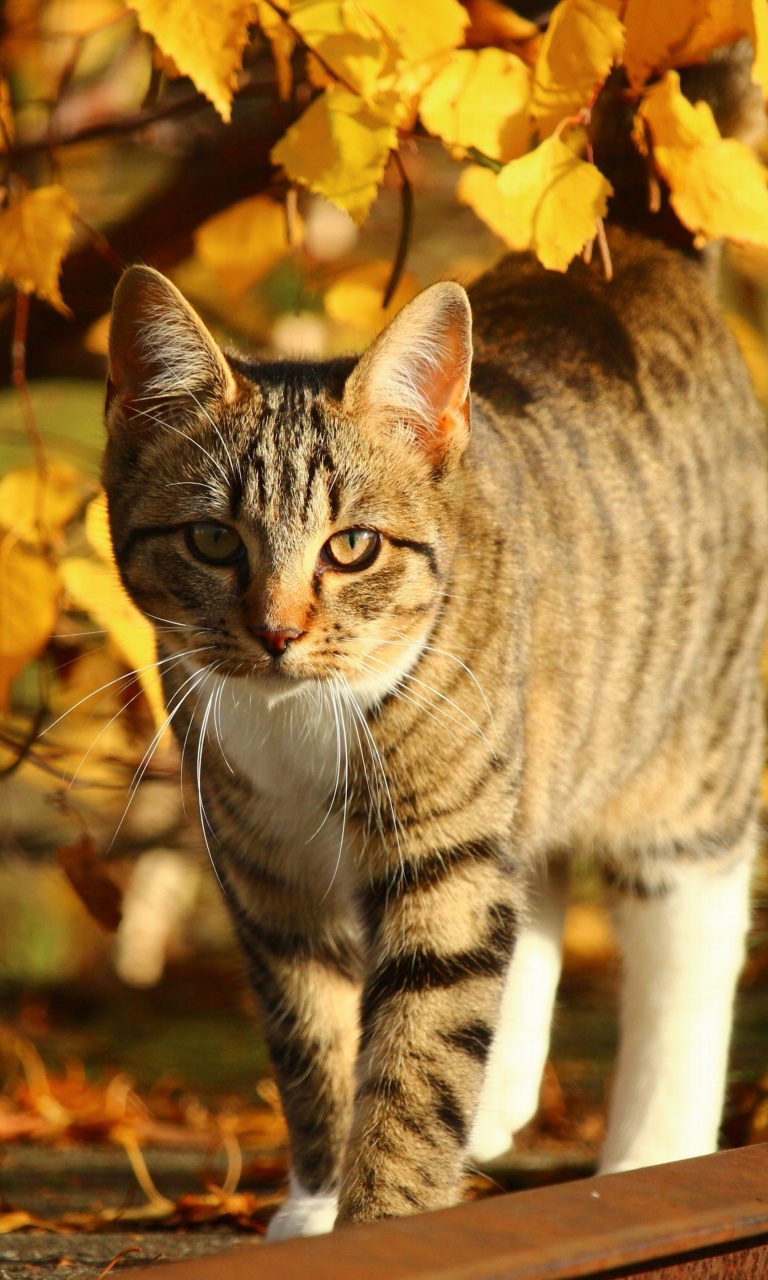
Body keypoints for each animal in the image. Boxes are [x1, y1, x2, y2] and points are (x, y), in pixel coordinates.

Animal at [103, 82, 768, 1239]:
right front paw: (320, 1200)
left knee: (687, 922)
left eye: (352, 547)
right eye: (214, 540)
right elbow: (315, 1031)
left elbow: (419, 1044)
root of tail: (639, 250)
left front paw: (385, 1215)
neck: (298, 721)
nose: (277, 630)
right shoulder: (264, 871)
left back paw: (655, 1146)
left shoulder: (443, 835)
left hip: (689, 747)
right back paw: (501, 1097)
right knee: (532, 879)